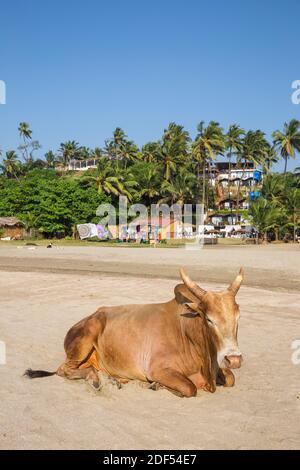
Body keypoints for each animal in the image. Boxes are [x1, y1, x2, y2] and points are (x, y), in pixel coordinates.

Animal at [24, 268, 244, 396]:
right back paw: (95, 380)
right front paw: (156, 385)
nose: (234, 359)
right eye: (209, 319)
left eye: (238, 318)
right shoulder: (157, 369)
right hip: (85, 338)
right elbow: (189, 388)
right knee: (63, 369)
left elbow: (231, 379)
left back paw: (113, 379)